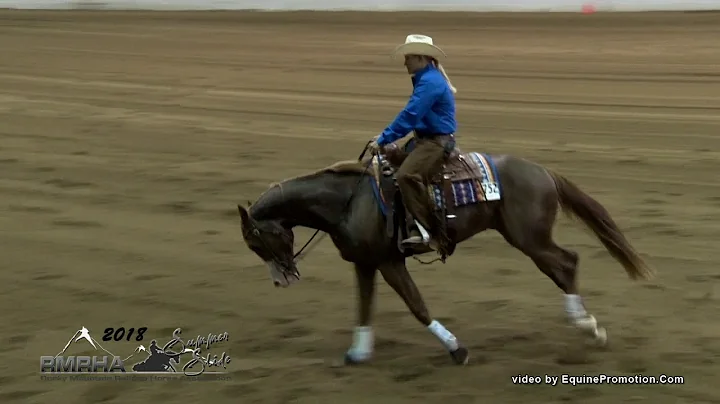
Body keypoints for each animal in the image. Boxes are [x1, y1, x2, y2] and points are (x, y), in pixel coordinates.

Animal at [236, 140, 652, 368]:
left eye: (257, 242)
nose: (282, 279)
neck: (348, 200)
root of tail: (543, 171)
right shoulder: (366, 263)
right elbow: (364, 307)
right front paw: (358, 352)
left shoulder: (389, 261)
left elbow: (418, 307)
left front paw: (457, 349)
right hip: (525, 238)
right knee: (563, 265)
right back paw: (587, 325)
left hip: (529, 239)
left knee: (567, 263)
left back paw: (589, 327)